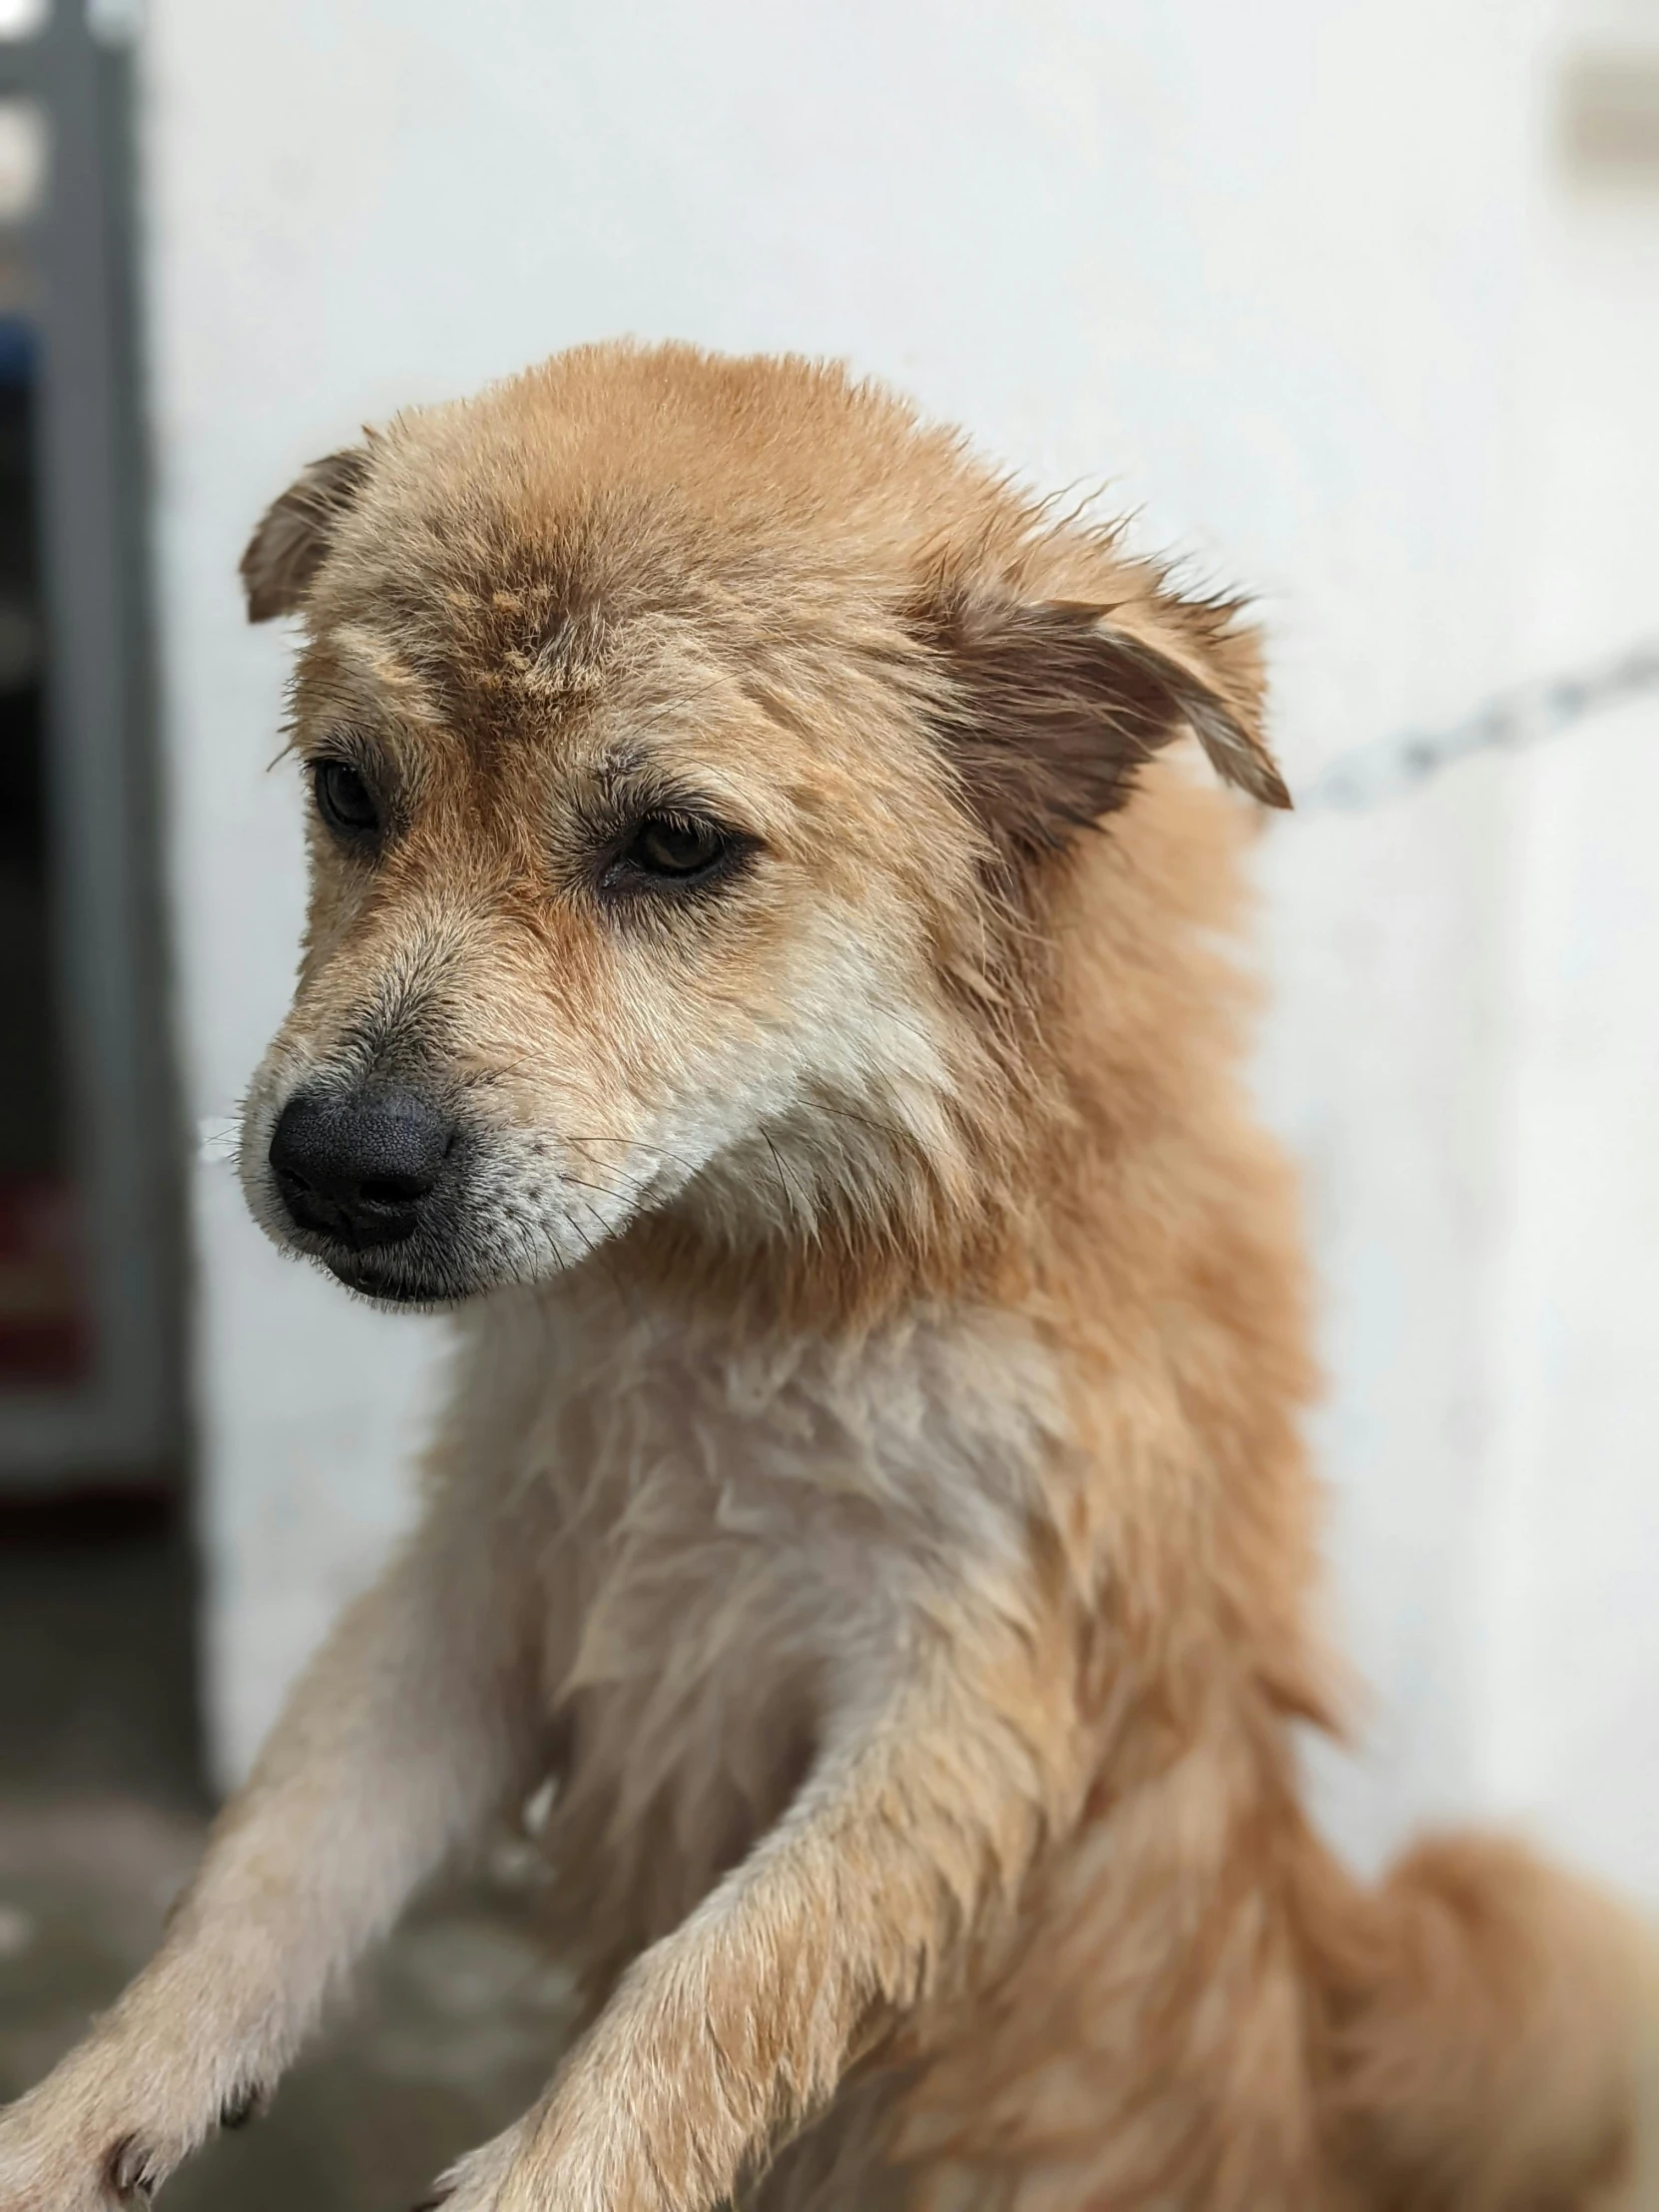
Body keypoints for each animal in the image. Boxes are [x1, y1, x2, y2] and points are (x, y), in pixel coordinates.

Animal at [0, 335, 1654, 2203]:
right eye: (350, 790)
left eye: (673, 844)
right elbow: (264, 1876)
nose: (337, 1164)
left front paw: (555, 2173)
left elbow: (715, 1978)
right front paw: (80, 2115)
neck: (758, 1289)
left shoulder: (971, 1685)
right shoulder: (481, 1594)